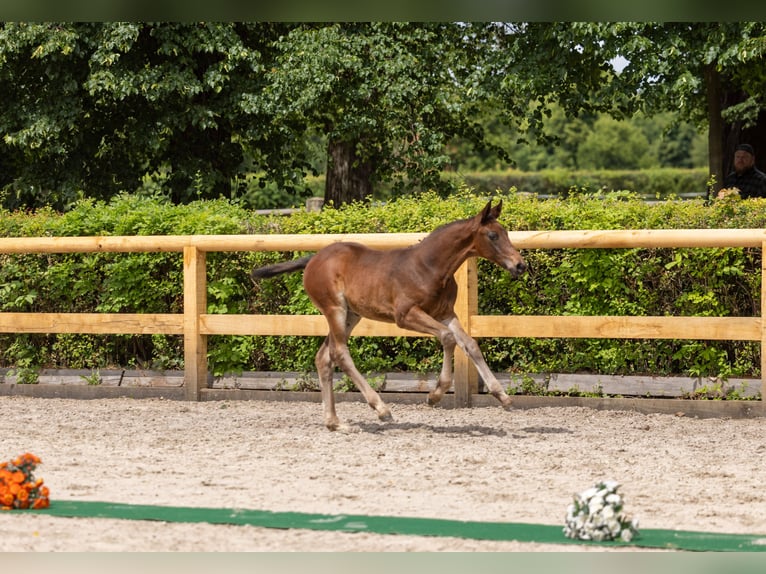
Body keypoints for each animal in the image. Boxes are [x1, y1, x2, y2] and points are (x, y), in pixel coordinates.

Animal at [250, 200, 527, 430]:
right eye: (493, 235)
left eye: (506, 233)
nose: (520, 265)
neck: (430, 267)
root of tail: (313, 260)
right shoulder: (405, 316)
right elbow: (448, 338)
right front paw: (435, 395)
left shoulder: (445, 313)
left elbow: (470, 344)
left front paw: (503, 396)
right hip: (335, 309)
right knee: (339, 353)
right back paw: (381, 409)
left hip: (352, 314)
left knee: (323, 357)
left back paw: (335, 423)